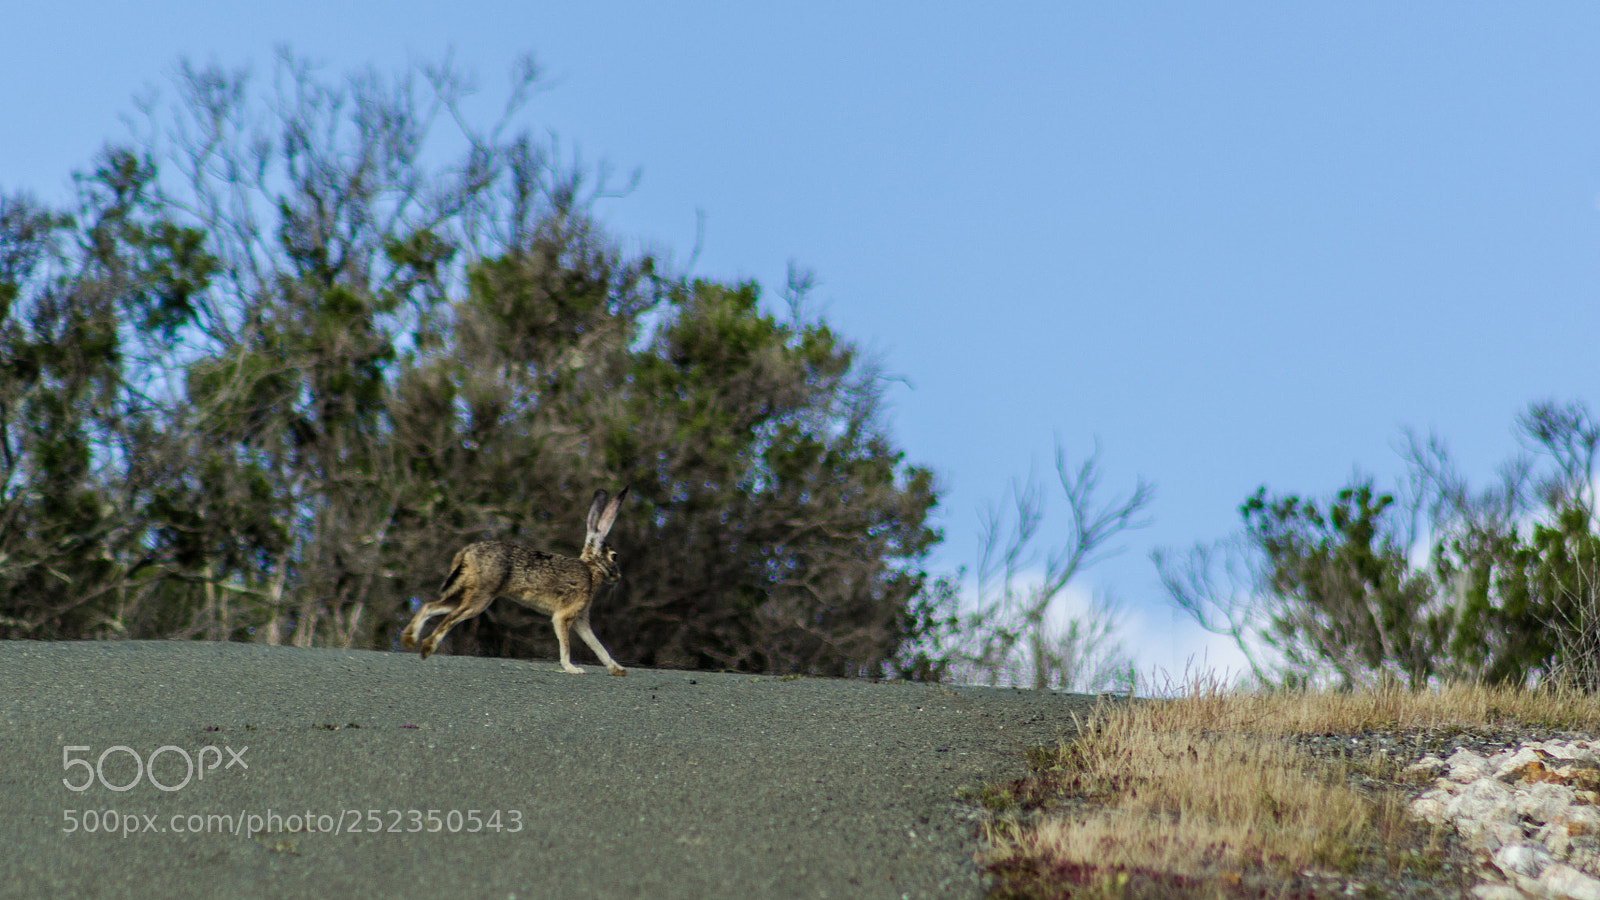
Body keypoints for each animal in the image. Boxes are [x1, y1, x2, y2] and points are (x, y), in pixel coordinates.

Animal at [400, 487, 629, 676]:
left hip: (465, 592)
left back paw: (409, 640)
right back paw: (426, 649)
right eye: (615, 556)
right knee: (450, 618)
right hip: (480, 598)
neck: (591, 570)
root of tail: (467, 553)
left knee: (430, 607)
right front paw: (572, 668)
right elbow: (566, 644)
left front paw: (617, 669)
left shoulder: (581, 618)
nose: (618, 577)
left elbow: (596, 644)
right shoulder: (564, 615)